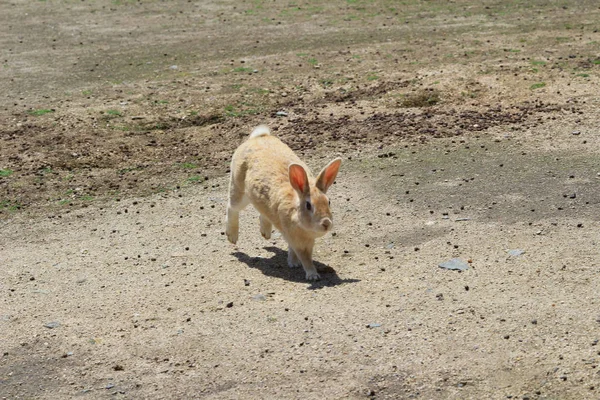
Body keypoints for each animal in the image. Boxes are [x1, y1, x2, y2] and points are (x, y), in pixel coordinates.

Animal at [226, 125, 342, 282]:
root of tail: (258, 137)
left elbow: (295, 251)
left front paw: (293, 263)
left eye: (328, 202)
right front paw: (312, 275)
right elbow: (305, 258)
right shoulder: (298, 241)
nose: (326, 223)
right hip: (239, 189)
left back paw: (266, 233)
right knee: (232, 207)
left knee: (262, 213)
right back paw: (232, 236)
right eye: (308, 205)